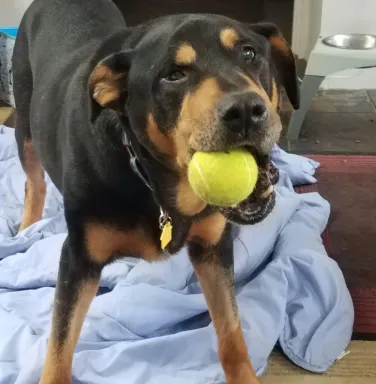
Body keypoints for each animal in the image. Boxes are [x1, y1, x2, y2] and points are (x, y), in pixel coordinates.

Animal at [12, 0, 300, 382]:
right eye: (173, 75)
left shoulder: (213, 248)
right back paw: (27, 226)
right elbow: (59, 348)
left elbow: (232, 332)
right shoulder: (78, 259)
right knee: (34, 180)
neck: (157, 182)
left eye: (249, 53)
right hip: (25, 124)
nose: (245, 111)